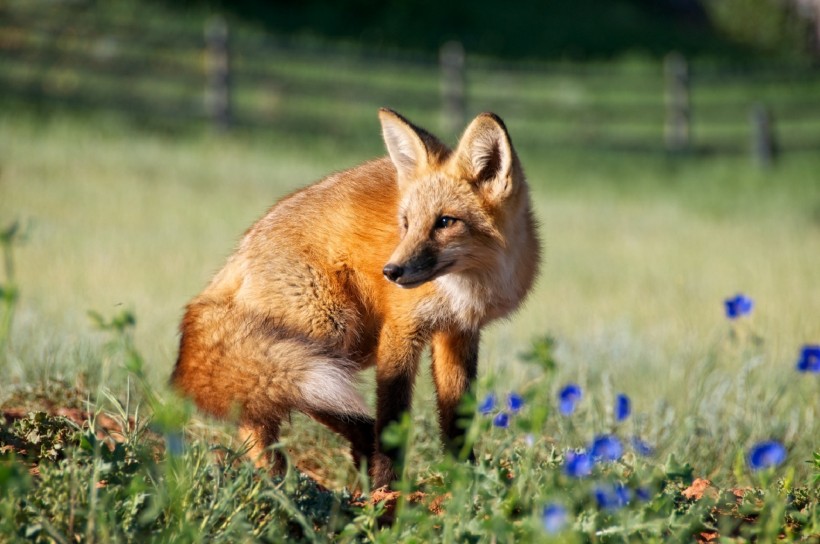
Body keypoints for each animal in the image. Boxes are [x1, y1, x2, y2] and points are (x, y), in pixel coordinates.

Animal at [171, 108, 540, 486]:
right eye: (406, 223)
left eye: (445, 222)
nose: (391, 272)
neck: (466, 287)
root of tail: (238, 254)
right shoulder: (400, 329)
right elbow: (393, 416)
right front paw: (387, 491)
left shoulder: (458, 332)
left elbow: (457, 420)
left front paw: (465, 481)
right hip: (331, 333)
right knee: (270, 403)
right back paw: (286, 482)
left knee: (261, 406)